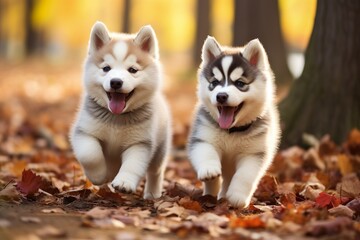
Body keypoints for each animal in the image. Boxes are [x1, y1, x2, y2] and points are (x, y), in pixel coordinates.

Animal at [71, 22, 172, 199]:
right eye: (106, 68)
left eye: (132, 70)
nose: (116, 82)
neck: (116, 118)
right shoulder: (85, 132)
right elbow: (90, 155)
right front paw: (99, 175)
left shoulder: (140, 142)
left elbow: (132, 164)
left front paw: (124, 182)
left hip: (160, 150)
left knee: (156, 171)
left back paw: (152, 193)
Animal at [188, 36, 282, 207]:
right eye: (214, 83)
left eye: (240, 83)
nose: (221, 96)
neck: (232, 131)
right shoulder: (202, 137)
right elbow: (206, 152)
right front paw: (209, 169)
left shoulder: (254, 153)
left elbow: (245, 175)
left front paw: (237, 197)